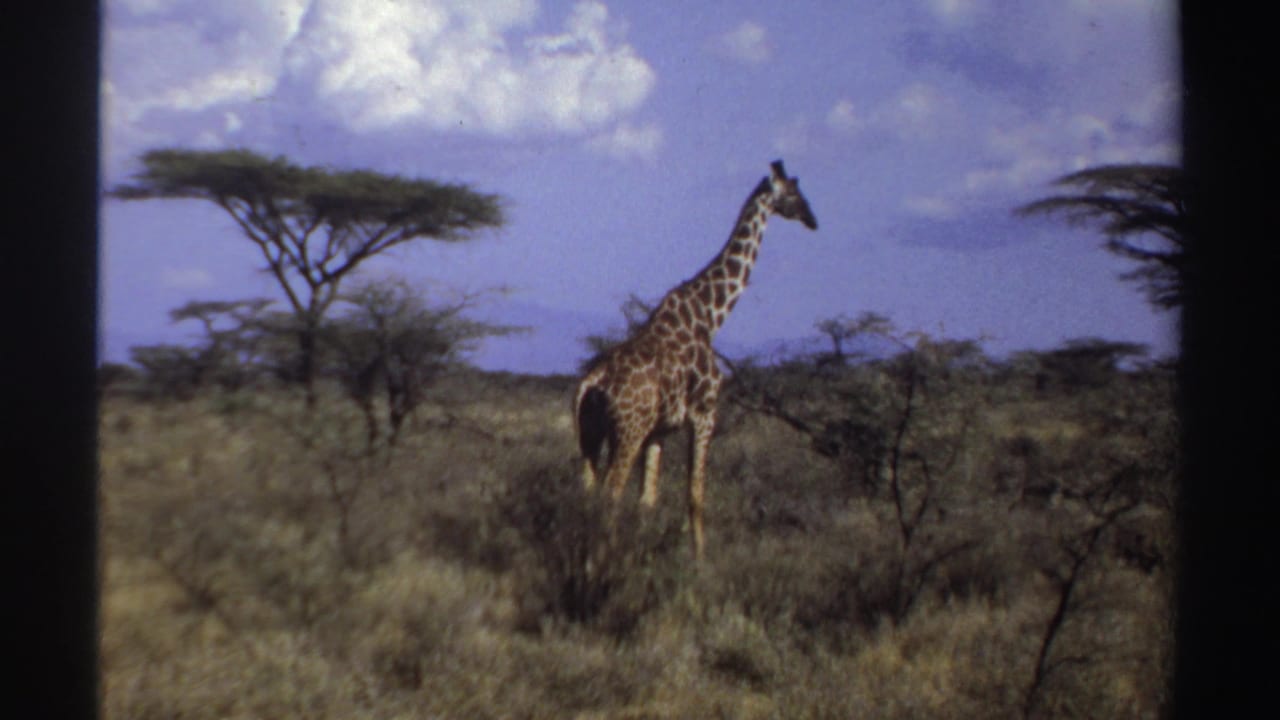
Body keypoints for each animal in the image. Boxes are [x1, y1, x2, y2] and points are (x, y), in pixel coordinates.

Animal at [573, 159, 818, 560]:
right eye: (795, 192)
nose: (813, 219)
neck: (709, 317)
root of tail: (593, 381)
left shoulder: (659, 431)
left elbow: (648, 500)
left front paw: (644, 555)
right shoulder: (705, 413)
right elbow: (695, 496)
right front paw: (700, 562)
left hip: (591, 433)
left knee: (588, 491)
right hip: (627, 431)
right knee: (609, 494)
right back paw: (600, 561)